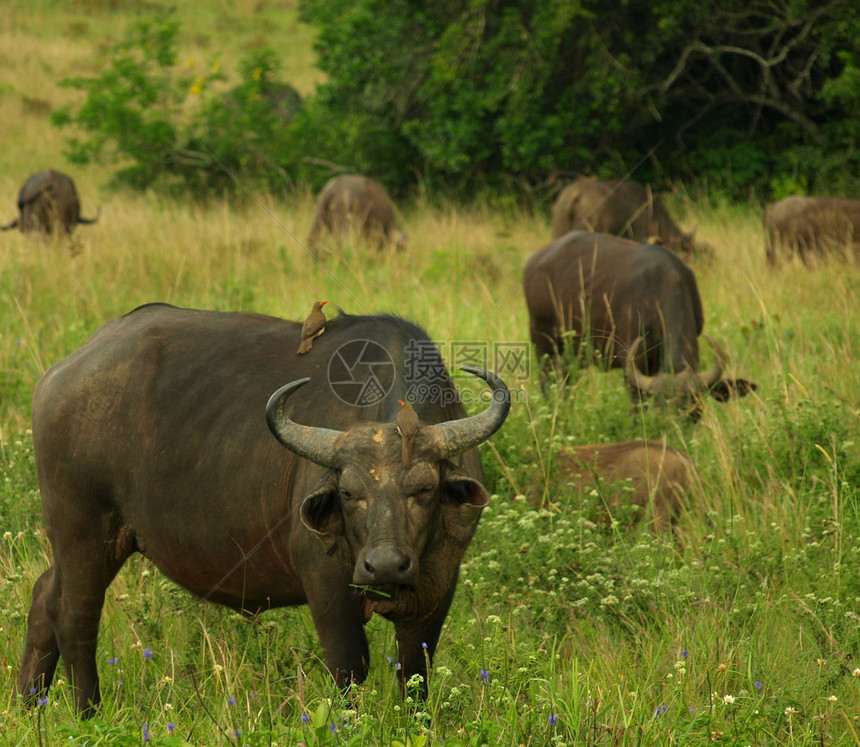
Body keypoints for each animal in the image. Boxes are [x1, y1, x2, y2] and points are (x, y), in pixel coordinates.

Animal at [18, 306, 510, 720]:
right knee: (75, 617)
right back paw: (88, 713)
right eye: (348, 492)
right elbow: (349, 667)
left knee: (45, 597)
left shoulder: (438, 586)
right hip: (82, 532)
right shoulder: (327, 585)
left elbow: (415, 672)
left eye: (425, 488)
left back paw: (28, 704)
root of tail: (58, 377)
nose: (385, 564)